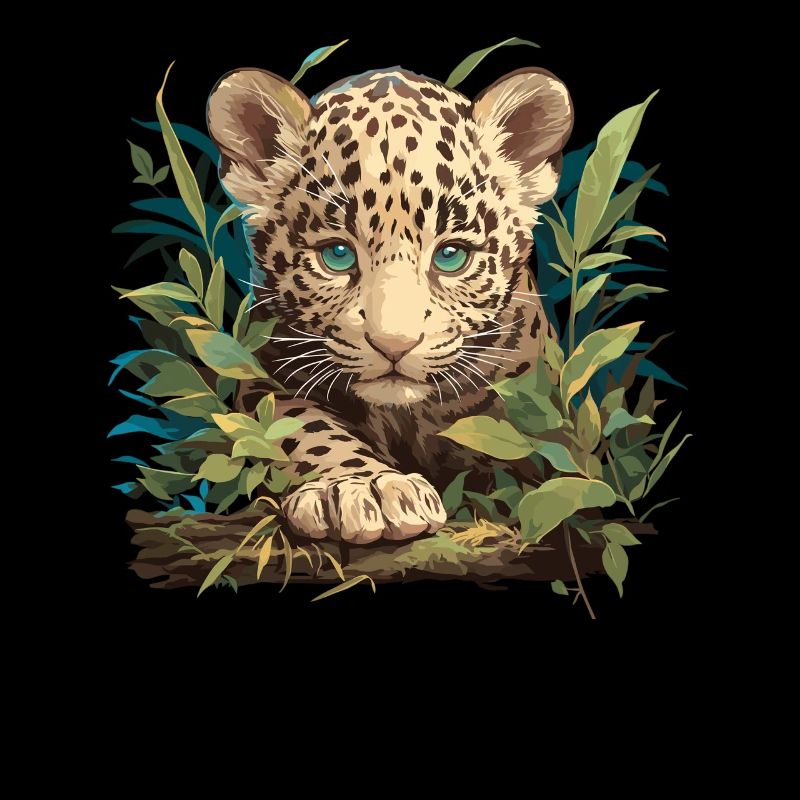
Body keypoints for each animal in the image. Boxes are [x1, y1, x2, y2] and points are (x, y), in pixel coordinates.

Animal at [206, 64, 573, 544]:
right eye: (336, 255)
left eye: (451, 255)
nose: (394, 345)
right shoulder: (267, 377)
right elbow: (304, 431)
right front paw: (367, 489)